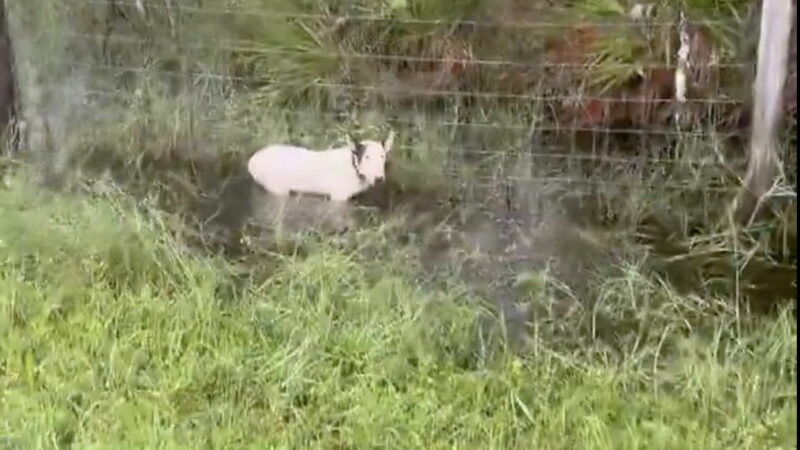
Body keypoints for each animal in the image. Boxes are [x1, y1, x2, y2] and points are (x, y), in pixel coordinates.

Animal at [244, 130, 394, 200]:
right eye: (367, 157)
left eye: (382, 156)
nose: (379, 179)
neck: (353, 167)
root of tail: (253, 161)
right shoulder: (338, 197)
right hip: (277, 186)